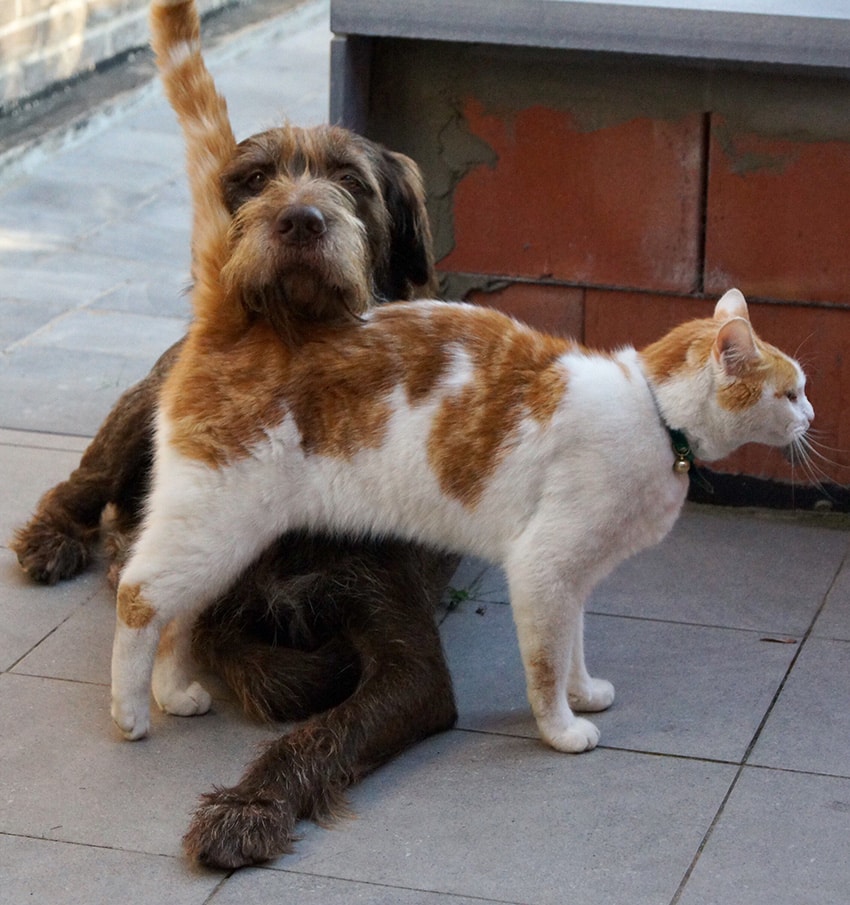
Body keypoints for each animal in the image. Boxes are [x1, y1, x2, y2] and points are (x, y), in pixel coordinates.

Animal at [109, 0, 812, 752]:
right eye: (793, 390)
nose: (812, 417)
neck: (652, 410)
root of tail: (237, 319)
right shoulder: (543, 567)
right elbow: (544, 663)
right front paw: (563, 729)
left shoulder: (576, 578)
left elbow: (576, 644)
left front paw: (586, 693)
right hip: (212, 523)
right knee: (138, 594)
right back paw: (129, 714)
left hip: (234, 541)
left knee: (181, 615)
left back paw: (174, 692)